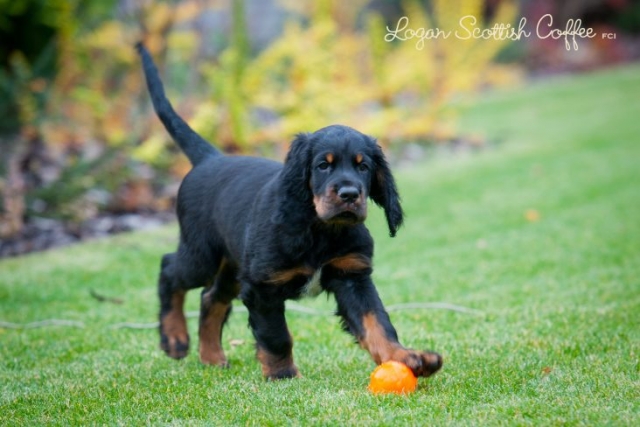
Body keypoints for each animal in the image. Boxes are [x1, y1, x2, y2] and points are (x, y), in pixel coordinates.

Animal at [138, 43, 442, 382]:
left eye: (363, 167)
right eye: (323, 165)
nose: (350, 195)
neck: (321, 229)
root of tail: (210, 158)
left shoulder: (352, 276)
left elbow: (376, 322)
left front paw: (408, 358)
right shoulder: (262, 286)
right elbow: (276, 334)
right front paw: (282, 374)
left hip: (233, 264)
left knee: (211, 297)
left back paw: (212, 356)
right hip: (203, 254)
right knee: (170, 270)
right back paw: (175, 338)